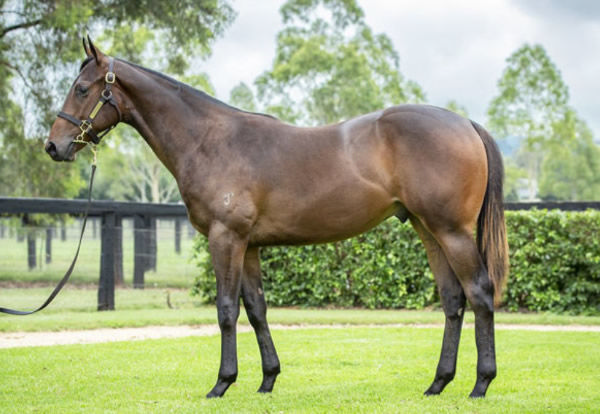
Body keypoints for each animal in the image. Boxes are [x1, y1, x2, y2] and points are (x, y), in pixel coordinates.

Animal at [45, 38, 506, 398]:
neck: (209, 140)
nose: (53, 145)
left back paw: (481, 383)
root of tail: (465, 123)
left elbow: (226, 309)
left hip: (452, 232)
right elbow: (256, 309)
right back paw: (438, 383)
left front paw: (222, 383)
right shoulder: (248, 245)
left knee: (480, 293)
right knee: (452, 300)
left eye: (81, 89)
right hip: (429, 230)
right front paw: (267, 379)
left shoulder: (225, 238)